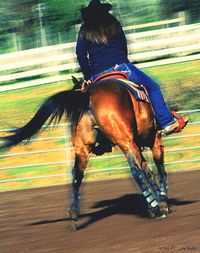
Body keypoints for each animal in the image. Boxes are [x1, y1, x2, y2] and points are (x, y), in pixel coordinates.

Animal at [0, 76, 170, 230]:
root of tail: (87, 95)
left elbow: (148, 170)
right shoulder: (153, 140)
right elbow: (158, 169)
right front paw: (162, 202)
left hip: (83, 148)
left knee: (77, 175)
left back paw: (74, 217)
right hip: (126, 141)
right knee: (136, 170)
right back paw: (155, 205)